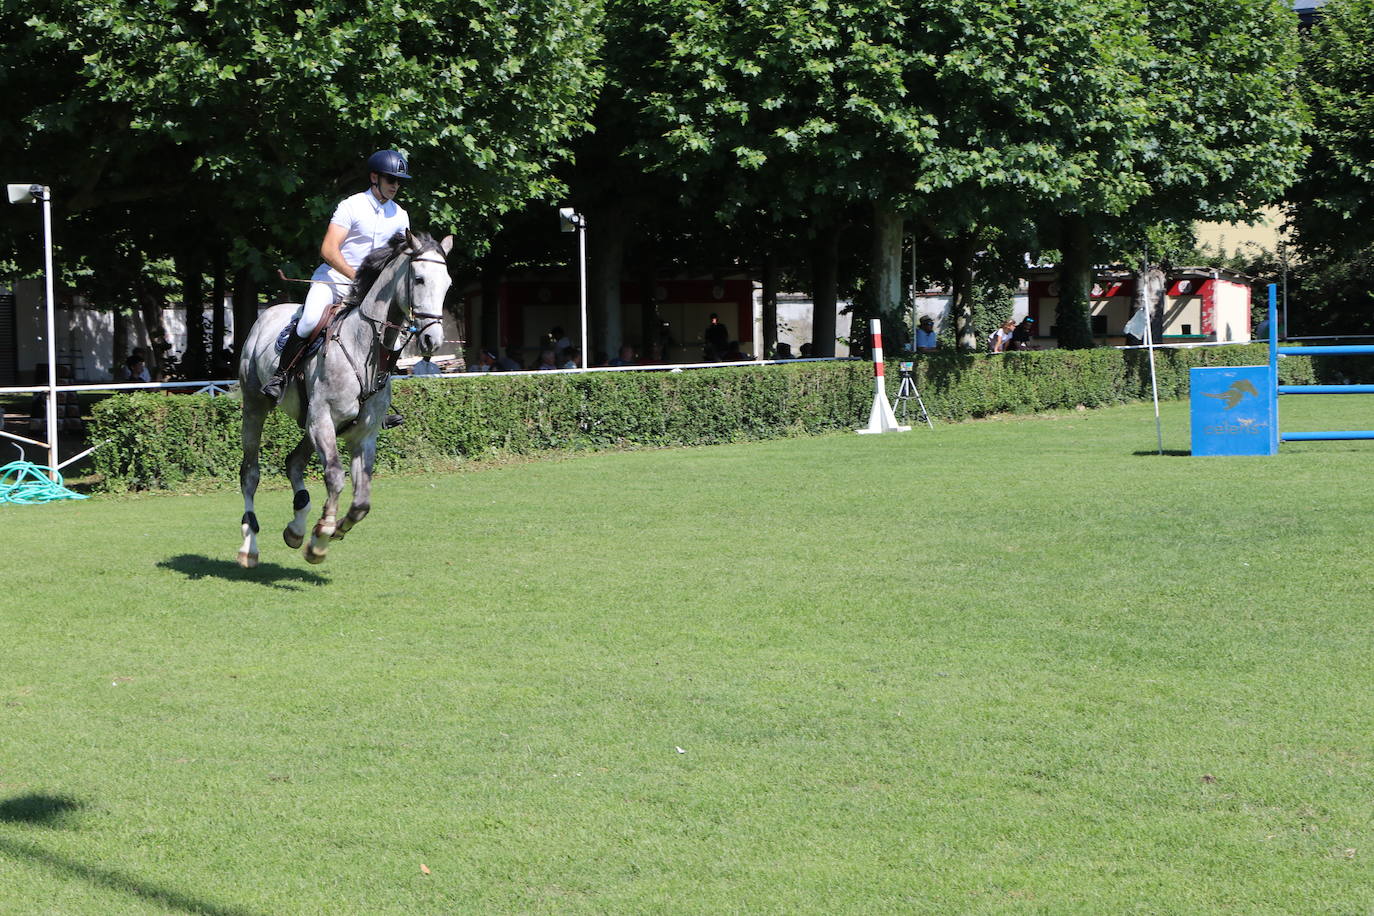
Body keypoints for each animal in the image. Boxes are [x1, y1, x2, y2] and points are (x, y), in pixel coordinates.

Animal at [236, 229, 450, 565]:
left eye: (448, 283)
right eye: (419, 279)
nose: (432, 339)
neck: (365, 348)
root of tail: (267, 314)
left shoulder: (362, 434)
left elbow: (362, 501)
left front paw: (332, 529)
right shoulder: (323, 419)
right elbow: (335, 476)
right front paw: (321, 536)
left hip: (310, 423)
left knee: (293, 462)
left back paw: (296, 528)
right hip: (257, 408)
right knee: (250, 473)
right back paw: (250, 546)